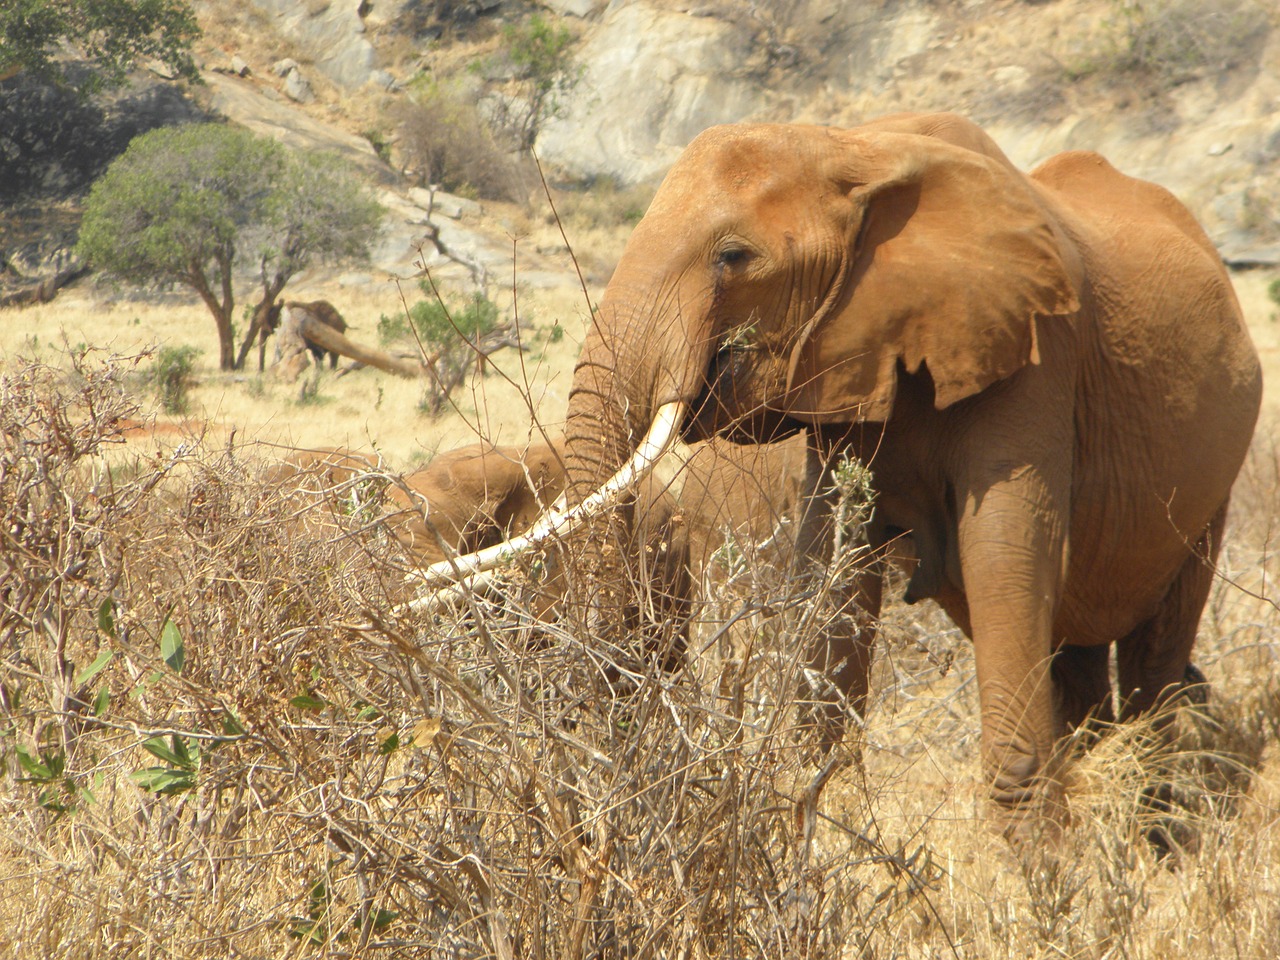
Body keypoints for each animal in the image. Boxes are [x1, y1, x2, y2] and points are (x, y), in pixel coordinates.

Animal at [424, 110, 1264, 834]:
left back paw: (1154, 832)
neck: (855, 145)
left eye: (733, 257)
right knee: (1079, 654)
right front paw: (821, 827)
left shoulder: (1034, 355)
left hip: (1218, 472)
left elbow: (1005, 557)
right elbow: (829, 571)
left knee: (1155, 655)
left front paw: (1043, 886)